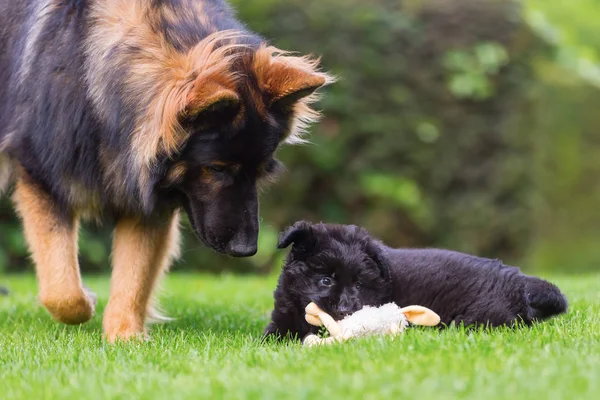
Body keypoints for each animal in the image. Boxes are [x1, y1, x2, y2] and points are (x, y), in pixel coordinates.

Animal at [0, 0, 332, 344]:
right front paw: (88, 302)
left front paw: (126, 337)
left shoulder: (147, 199)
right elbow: (62, 290)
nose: (246, 249)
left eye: (261, 171)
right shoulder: (41, 176)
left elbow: (133, 277)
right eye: (216, 168)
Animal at [266, 222, 568, 340]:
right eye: (325, 280)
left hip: (478, 317)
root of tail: (521, 281)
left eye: (360, 285)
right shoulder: (282, 315)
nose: (345, 309)